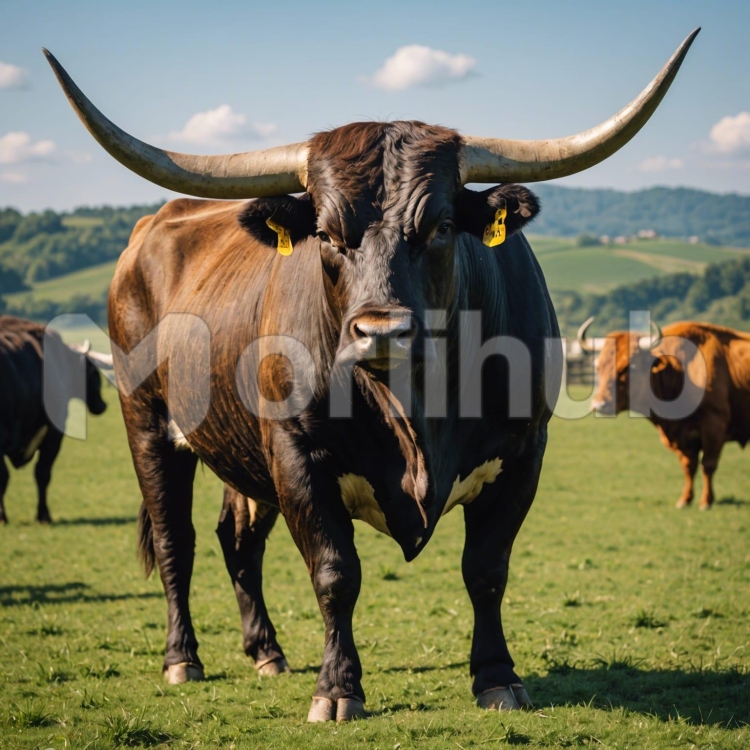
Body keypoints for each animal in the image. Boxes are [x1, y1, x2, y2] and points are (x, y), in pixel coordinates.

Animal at [44, 29, 698, 720]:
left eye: (441, 226)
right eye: (328, 234)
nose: (381, 331)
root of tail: (155, 225)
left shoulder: (523, 453)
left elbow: (486, 568)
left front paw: (497, 677)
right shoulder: (298, 457)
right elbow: (336, 573)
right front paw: (337, 689)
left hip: (241, 455)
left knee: (237, 540)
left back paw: (266, 652)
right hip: (148, 425)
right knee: (178, 540)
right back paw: (182, 659)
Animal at [579, 318, 750, 510]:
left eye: (630, 366)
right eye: (598, 366)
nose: (599, 404)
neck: (682, 371)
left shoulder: (714, 428)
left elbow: (708, 465)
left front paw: (706, 501)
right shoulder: (684, 439)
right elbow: (688, 467)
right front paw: (684, 500)